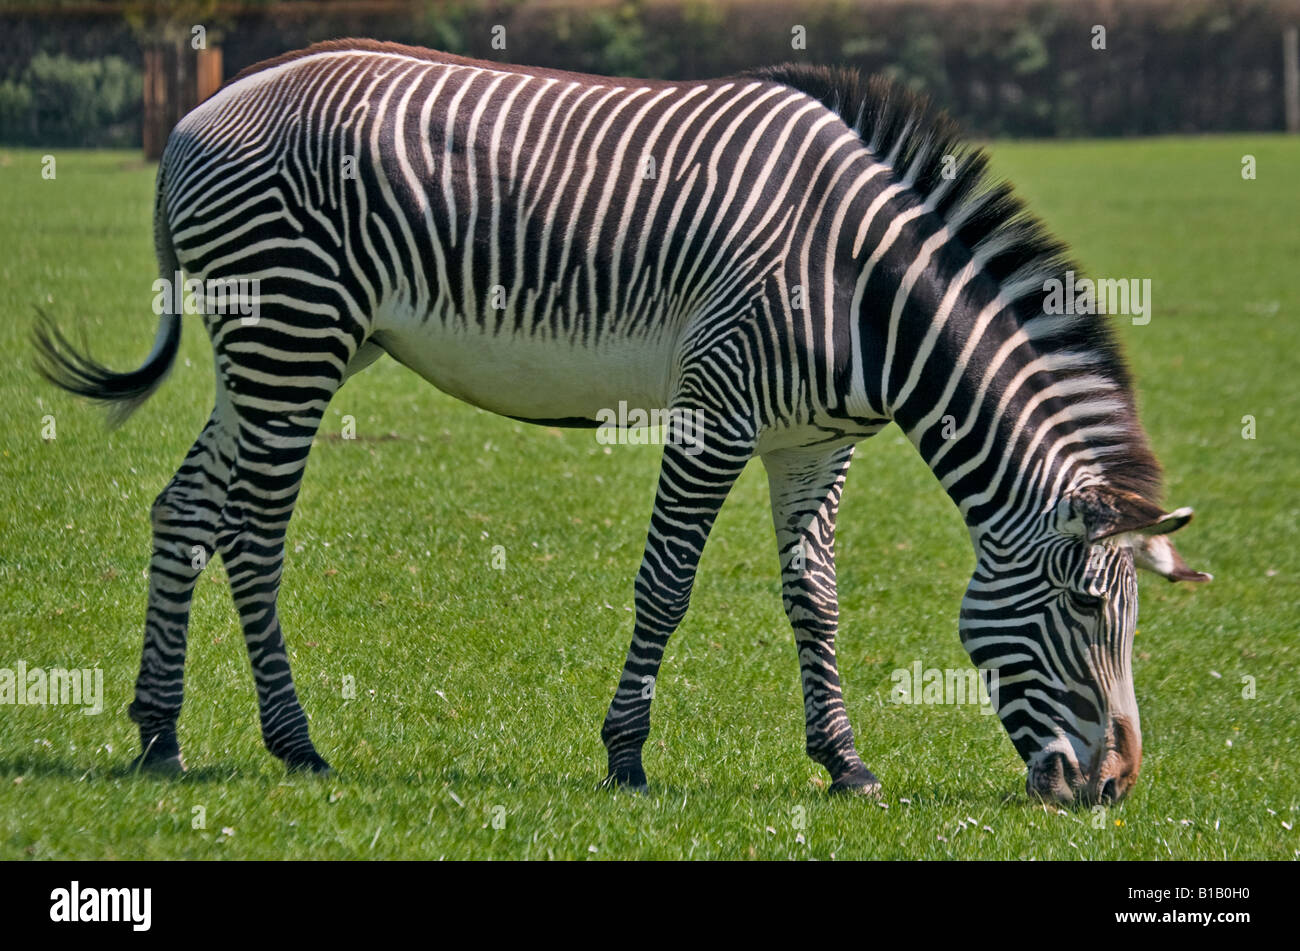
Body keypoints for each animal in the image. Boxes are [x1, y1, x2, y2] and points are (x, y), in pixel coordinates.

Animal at [35, 42, 1206, 800]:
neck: (864, 288)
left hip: (269, 346)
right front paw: (628, 756)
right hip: (293, 335)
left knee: (186, 508)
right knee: (253, 532)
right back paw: (293, 742)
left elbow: (816, 600)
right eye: (1086, 608)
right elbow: (668, 583)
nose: (1114, 787)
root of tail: (200, 113)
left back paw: (158, 733)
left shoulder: (813, 442)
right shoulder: (716, 411)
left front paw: (844, 762)